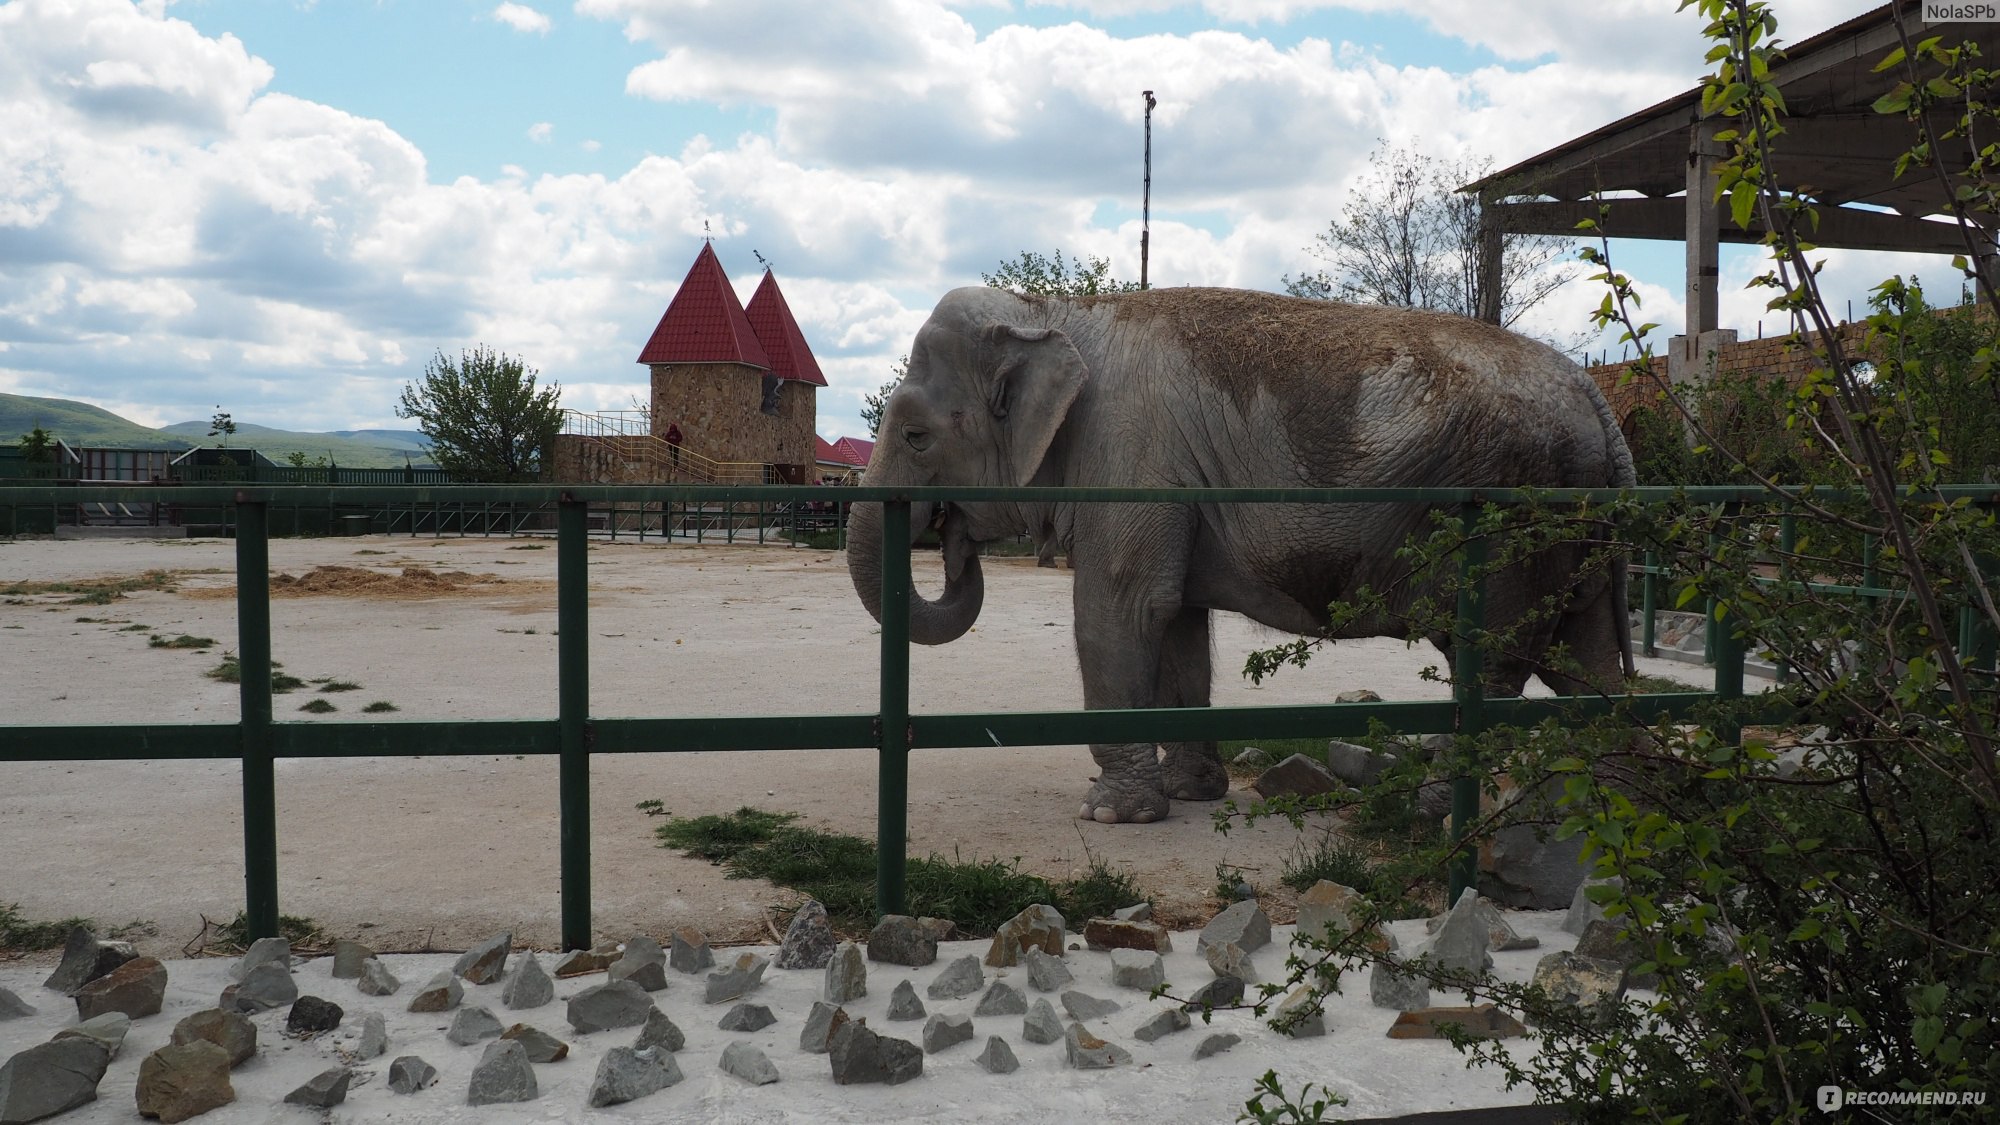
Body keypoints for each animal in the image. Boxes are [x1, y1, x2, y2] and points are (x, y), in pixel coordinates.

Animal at [848, 284, 1640, 820]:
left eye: (916, 436)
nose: (953, 547)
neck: (1058, 313)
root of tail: (1595, 394)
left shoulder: (1130, 459)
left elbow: (1122, 609)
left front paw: (1111, 813)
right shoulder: (1171, 483)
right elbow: (1176, 623)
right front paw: (1189, 793)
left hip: (1517, 521)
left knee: (1497, 658)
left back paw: (1429, 807)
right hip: (1574, 530)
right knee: (1585, 659)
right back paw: (1619, 810)